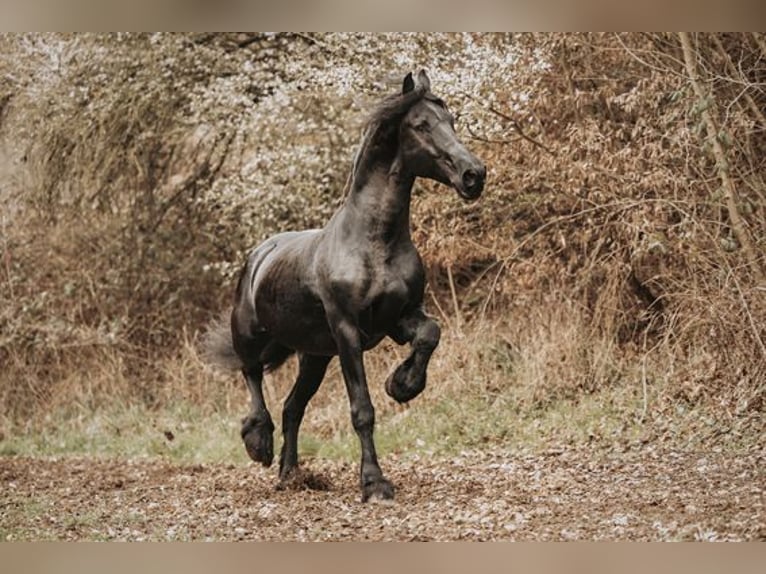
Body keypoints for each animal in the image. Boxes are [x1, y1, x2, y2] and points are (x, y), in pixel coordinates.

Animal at [204, 70, 486, 502]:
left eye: (451, 121)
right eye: (422, 125)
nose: (474, 175)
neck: (374, 241)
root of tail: (259, 255)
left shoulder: (399, 318)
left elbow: (429, 335)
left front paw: (402, 385)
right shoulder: (348, 333)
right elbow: (362, 410)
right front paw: (374, 483)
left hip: (315, 356)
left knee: (292, 407)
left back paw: (291, 475)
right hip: (253, 336)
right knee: (252, 377)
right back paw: (258, 442)